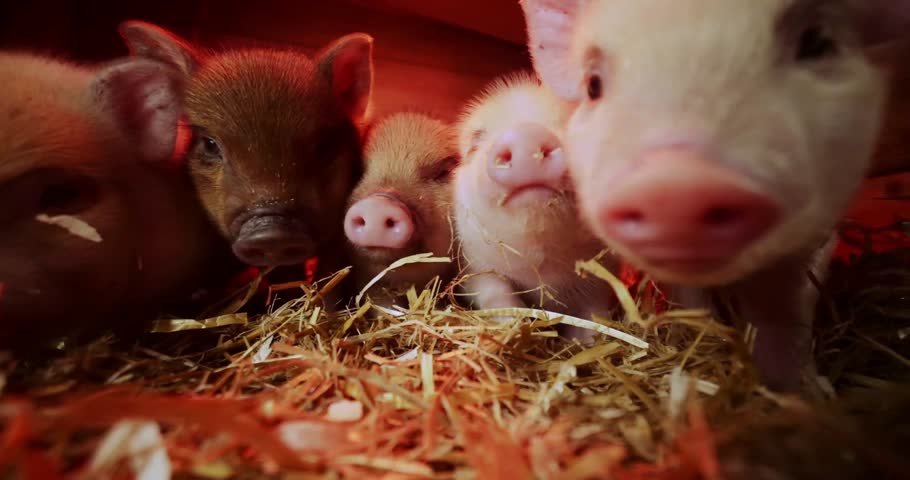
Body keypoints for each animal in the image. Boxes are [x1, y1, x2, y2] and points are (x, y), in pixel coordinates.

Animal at [453, 71, 618, 340]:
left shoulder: (603, 276)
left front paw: (585, 341)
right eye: (475, 143)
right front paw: (512, 323)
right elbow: (495, 293)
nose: (525, 134)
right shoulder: (474, 265)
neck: (543, 271)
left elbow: (594, 313)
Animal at [519, 0, 910, 391]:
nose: (673, 186)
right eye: (593, 85)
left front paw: (802, 391)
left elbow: (785, 307)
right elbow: (694, 302)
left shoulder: (820, 235)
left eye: (816, 43)